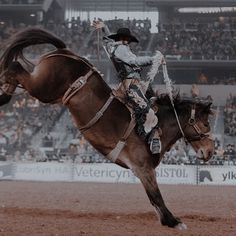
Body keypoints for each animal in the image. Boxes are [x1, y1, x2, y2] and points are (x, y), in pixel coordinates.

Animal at [0, 27, 215, 229]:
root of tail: (64, 51)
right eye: (206, 123)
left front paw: (166, 220)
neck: (159, 126)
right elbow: (156, 196)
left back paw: (5, 92)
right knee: (15, 67)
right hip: (43, 87)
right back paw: (4, 94)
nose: (211, 152)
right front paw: (173, 221)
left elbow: (154, 200)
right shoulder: (143, 168)